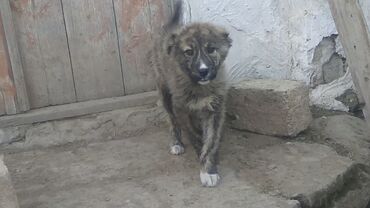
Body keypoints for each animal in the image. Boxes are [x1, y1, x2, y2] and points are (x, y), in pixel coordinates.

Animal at [147, 1, 231, 187]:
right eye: (189, 52)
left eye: (211, 49)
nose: (203, 71)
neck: (200, 87)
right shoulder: (182, 108)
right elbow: (194, 136)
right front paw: (204, 165)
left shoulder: (216, 108)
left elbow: (211, 139)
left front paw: (209, 167)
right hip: (164, 92)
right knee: (172, 121)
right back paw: (176, 143)